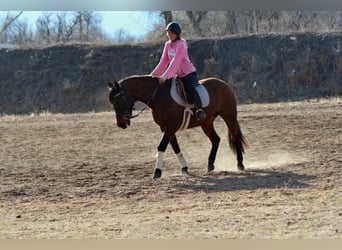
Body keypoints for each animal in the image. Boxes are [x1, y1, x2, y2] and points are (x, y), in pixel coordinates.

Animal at [107, 75, 246, 179]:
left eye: (118, 100)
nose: (121, 124)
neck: (159, 96)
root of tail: (223, 83)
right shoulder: (166, 128)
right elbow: (175, 147)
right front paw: (184, 168)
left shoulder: (171, 127)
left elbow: (162, 146)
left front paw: (157, 171)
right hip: (206, 123)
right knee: (216, 139)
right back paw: (210, 165)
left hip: (229, 117)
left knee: (235, 137)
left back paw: (240, 164)